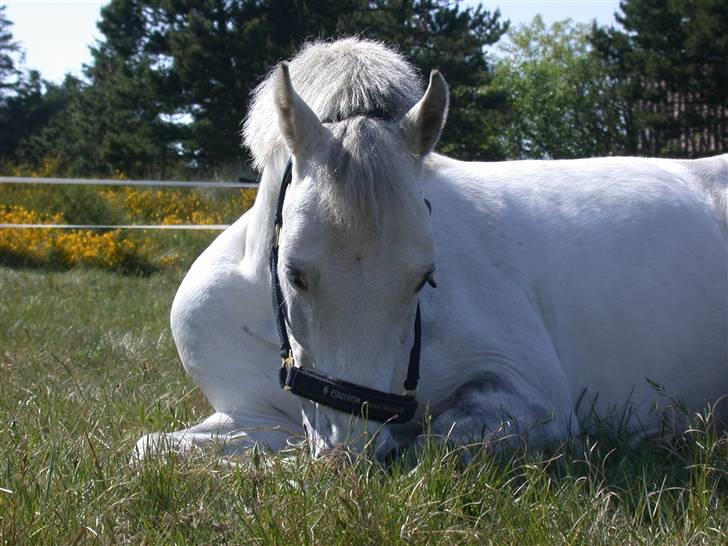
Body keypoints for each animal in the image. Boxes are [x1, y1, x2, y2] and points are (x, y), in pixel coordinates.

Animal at [135, 38, 728, 461]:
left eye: (424, 278)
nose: (349, 448)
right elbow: (152, 449)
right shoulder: (250, 415)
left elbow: (438, 438)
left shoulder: (534, 394)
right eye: (295, 274)